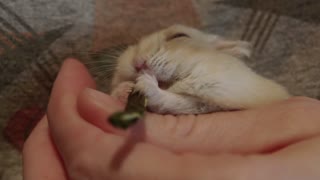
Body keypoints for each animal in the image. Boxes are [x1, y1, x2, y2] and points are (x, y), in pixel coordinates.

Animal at [109, 24, 290, 114]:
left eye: (180, 36)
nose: (137, 63)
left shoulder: (224, 94)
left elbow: (178, 101)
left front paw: (143, 84)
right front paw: (124, 89)